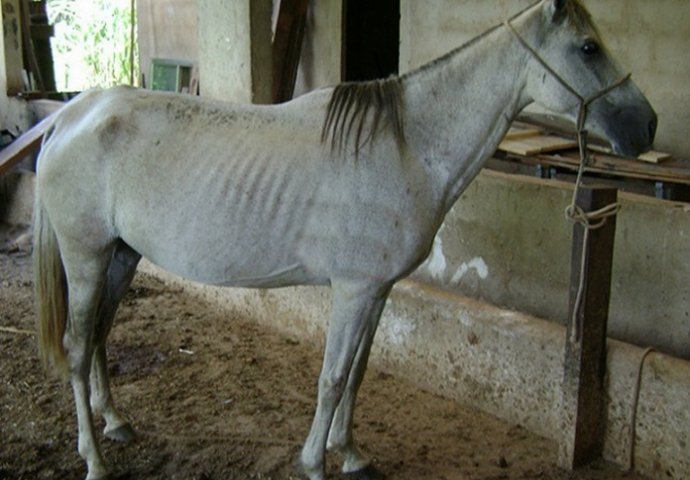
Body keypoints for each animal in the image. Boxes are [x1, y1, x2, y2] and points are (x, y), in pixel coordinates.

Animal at [33, 0, 656, 480]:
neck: (405, 147)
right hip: (87, 257)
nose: (645, 127)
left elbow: (356, 374)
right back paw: (94, 459)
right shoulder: (352, 291)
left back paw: (116, 422)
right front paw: (315, 463)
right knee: (77, 346)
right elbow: (332, 379)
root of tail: (74, 113)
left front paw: (351, 453)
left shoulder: (376, 292)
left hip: (121, 256)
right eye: (588, 48)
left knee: (101, 336)